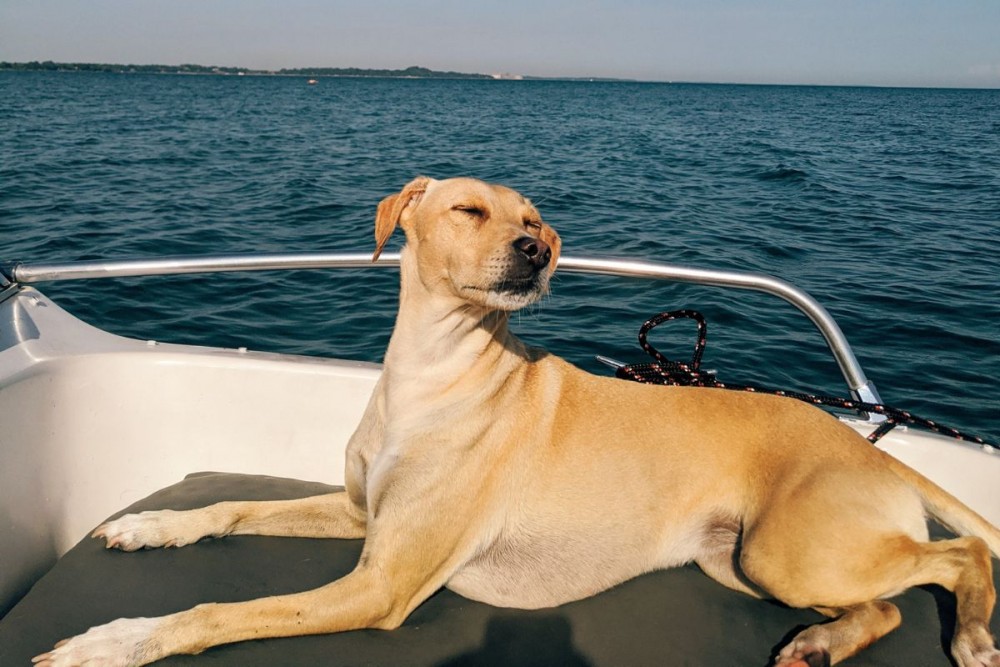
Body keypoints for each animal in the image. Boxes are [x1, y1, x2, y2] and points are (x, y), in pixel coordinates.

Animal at [35, 177, 1000, 667]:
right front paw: (154, 524)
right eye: (471, 210)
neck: (434, 375)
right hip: (740, 562)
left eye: (536, 220)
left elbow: (218, 610)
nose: (536, 250)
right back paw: (823, 644)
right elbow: (228, 507)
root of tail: (863, 442)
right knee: (885, 605)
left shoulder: (380, 584)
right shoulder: (360, 515)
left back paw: (973, 633)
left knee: (959, 556)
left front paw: (114, 639)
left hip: (789, 552)